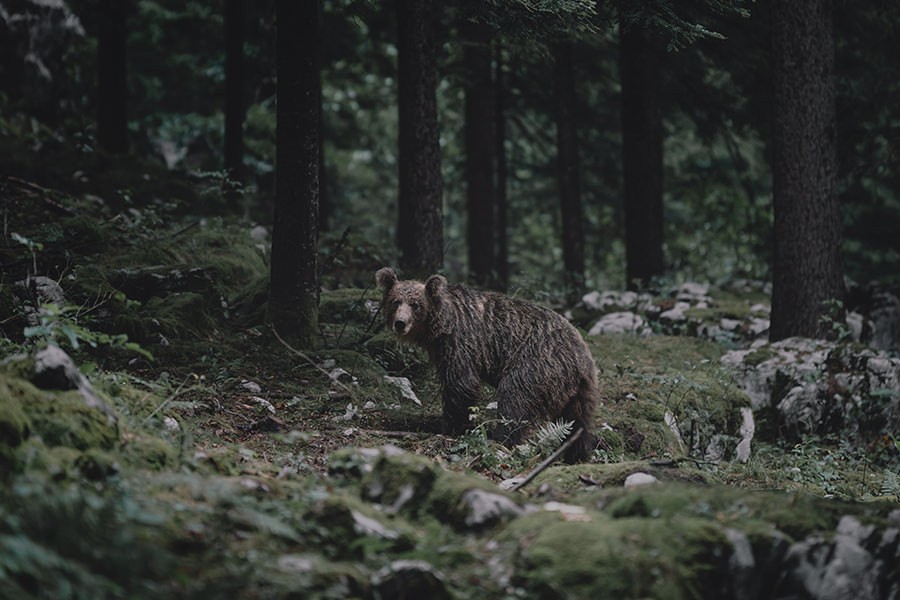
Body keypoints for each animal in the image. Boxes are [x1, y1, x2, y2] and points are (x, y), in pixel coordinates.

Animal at [374, 268, 596, 464]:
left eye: (415, 304)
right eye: (395, 301)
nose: (400, 323)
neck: (440, 328)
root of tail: (581, 355)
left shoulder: (461, 343)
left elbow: (461, 384)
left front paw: (451, 425)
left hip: (536, 364)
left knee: (514, 398)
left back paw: (501, 438)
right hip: (581, 390)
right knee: (578, 422)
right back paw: (576, 454)